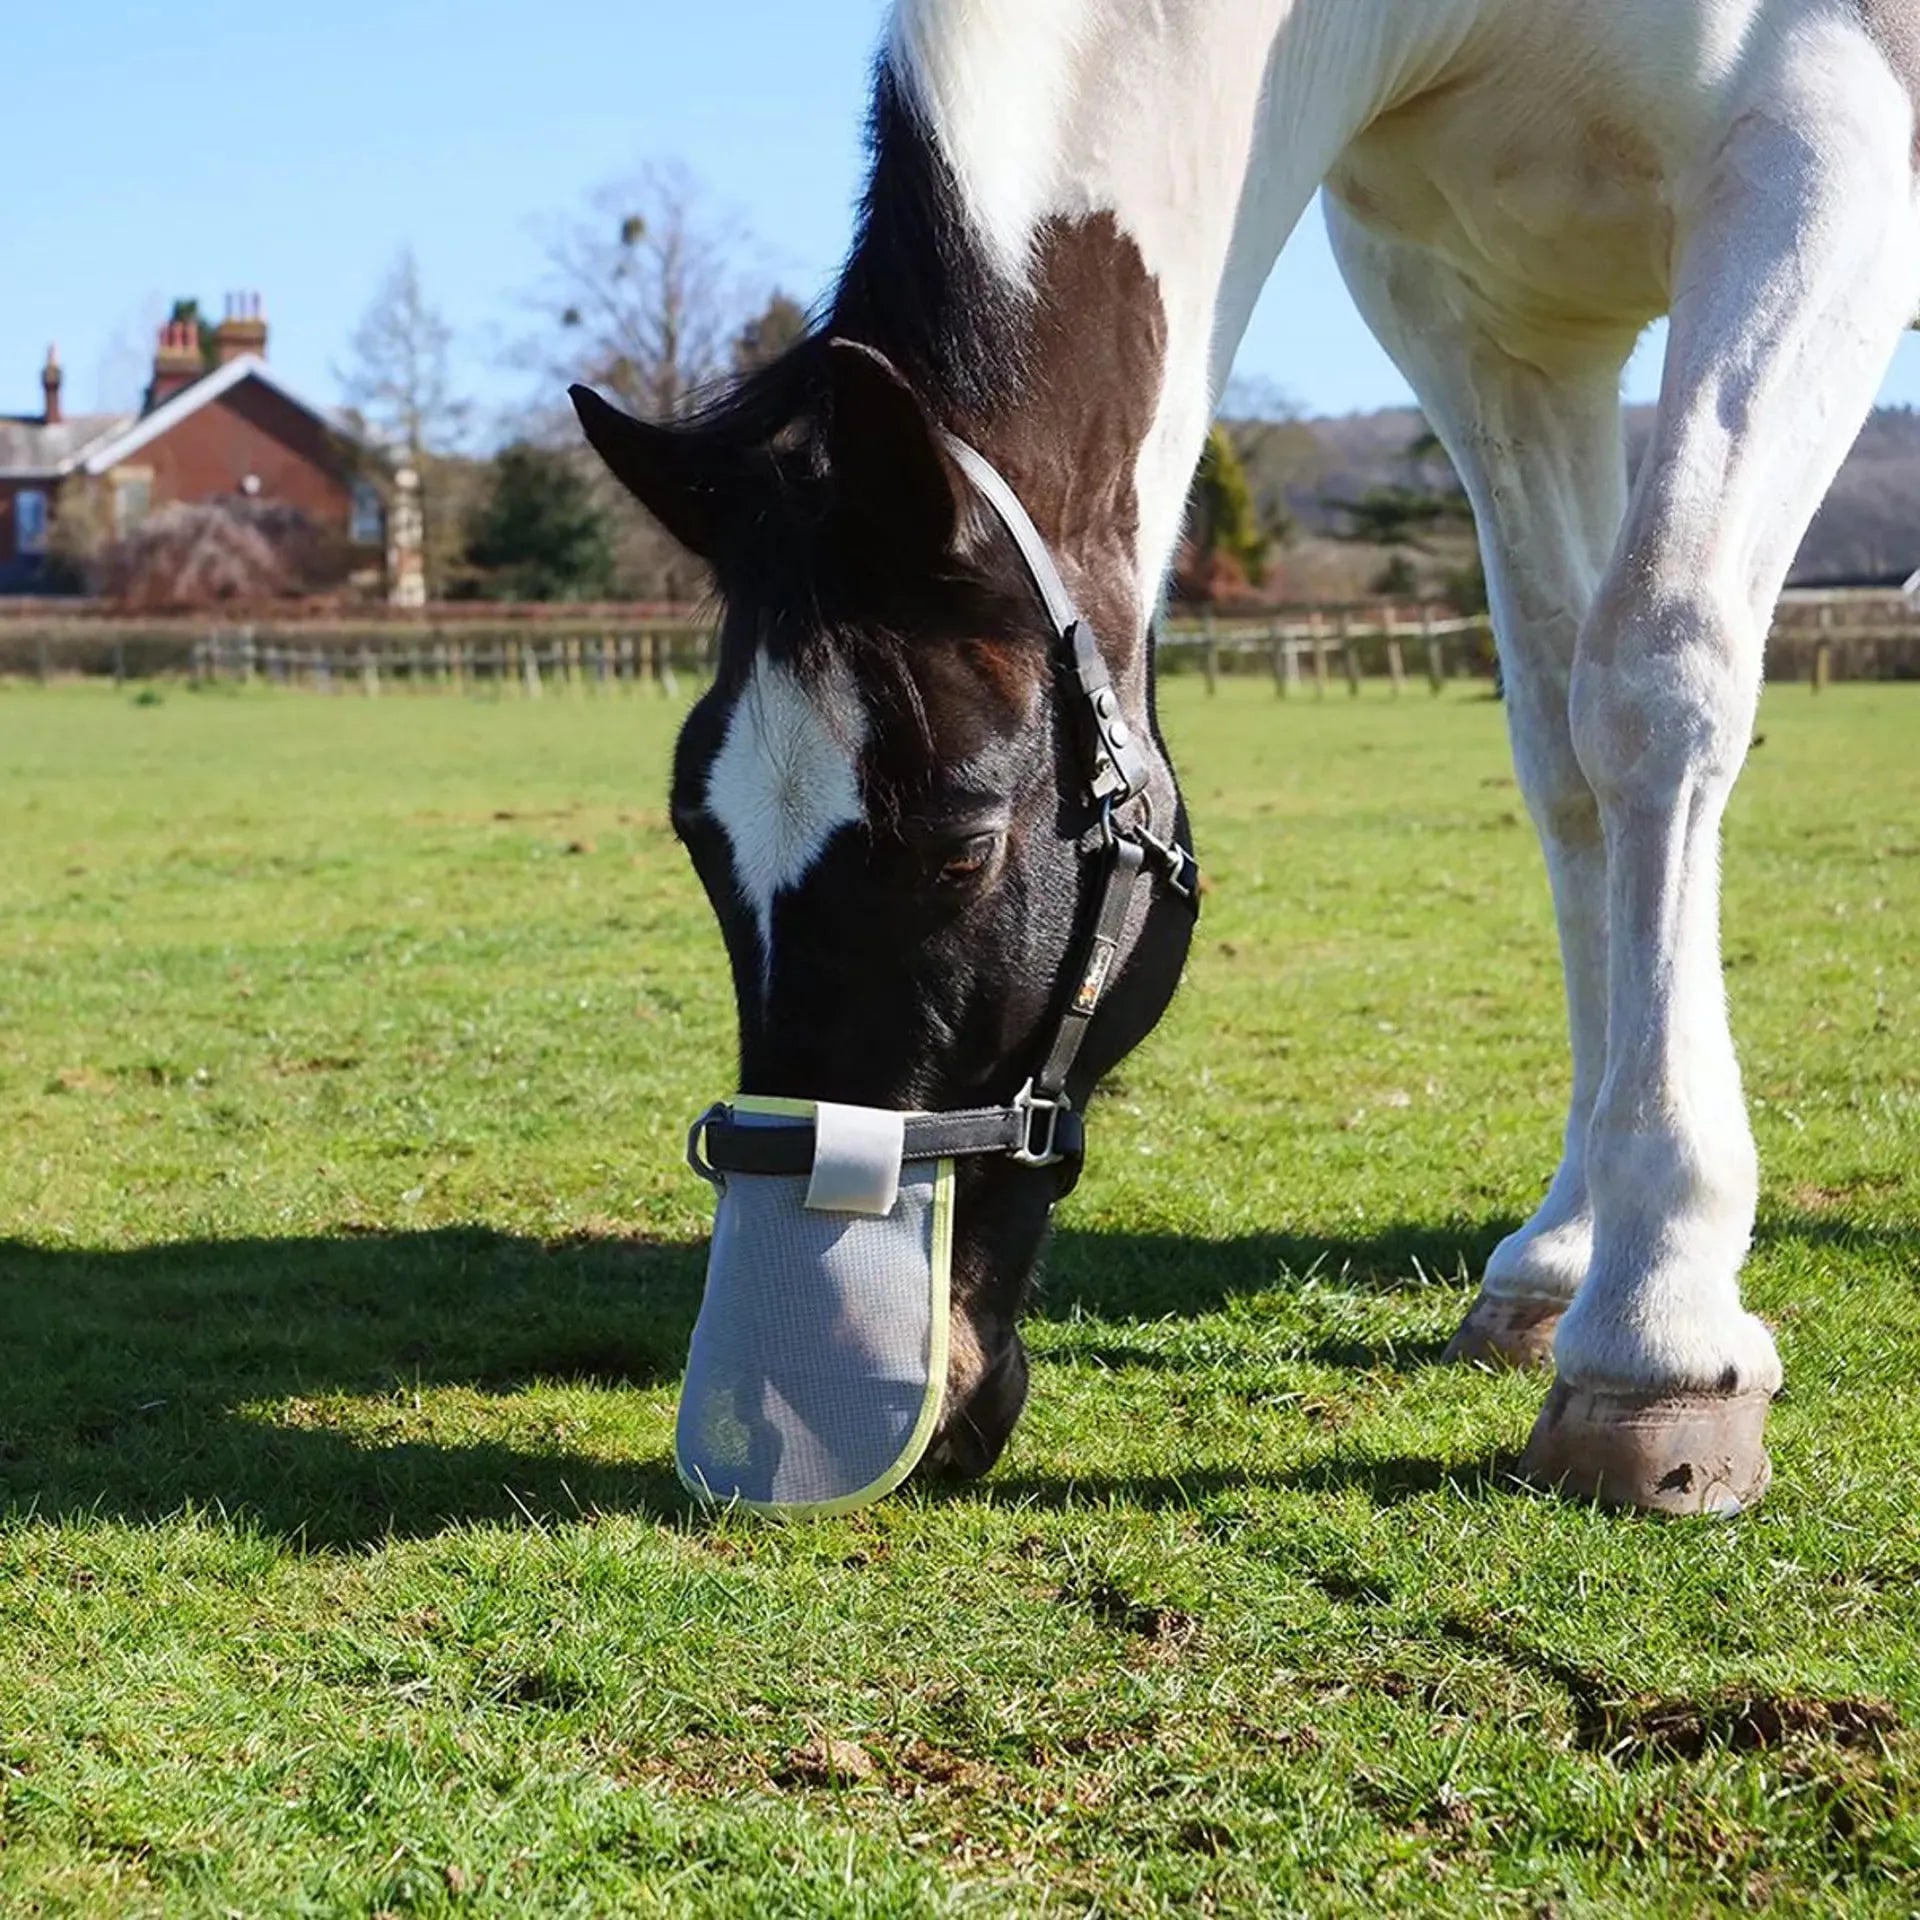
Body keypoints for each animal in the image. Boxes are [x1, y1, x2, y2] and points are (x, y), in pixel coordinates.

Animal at [576, 0, 1920, 1512]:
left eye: (964, 844)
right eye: (698, 835)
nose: (792, 1423)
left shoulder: (1820, 168)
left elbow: (1652, 676)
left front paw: (1656, 1333)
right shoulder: (1493, 316)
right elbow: (1563, 744)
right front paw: (1566, 1260)